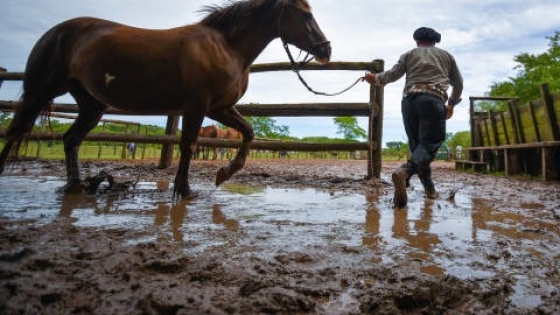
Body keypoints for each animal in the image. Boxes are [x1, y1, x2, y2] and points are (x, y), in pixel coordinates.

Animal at [0, 0, 330, 198]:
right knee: (17, 131)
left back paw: (76, 185)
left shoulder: (220, 108)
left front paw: (223, 174)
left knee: (70, 139)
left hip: (92, 105)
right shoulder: (197, 105)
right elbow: (189, 145)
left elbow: (248, 132)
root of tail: (54, 32)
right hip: (42, 90)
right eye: (304, 12)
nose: (326, 50)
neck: (225, 46)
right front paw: (184, 190)